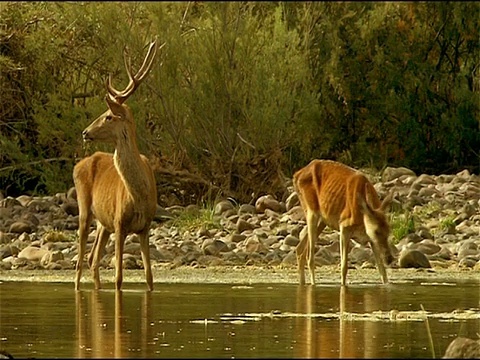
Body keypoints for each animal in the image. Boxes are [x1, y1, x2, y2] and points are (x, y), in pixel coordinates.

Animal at [72, 38, 163, 292]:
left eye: (109, 116)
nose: (85, 132)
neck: (138, 194)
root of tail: (79, 164)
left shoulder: (145, 227)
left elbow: (150, 278)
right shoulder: (120, 223)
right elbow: (119, 278)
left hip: (103, 223)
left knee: (92, 259)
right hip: (85, 208)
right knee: (80, 259)